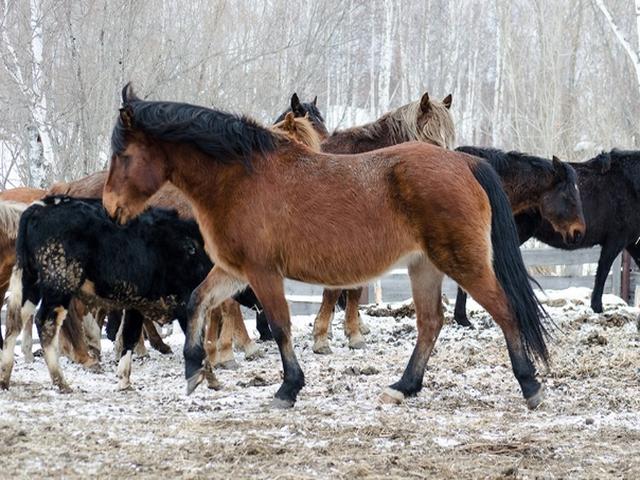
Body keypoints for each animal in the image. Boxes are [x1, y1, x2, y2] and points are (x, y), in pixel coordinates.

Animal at [103, 84, 551, 410]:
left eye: (122, 154)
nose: (110, 207)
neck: (242, 178)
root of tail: (464, 163)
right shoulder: (234, 270)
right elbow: (198, 301)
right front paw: (195, 369)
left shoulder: (262, 272)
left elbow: (280, 326)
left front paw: (287, 388)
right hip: (424, 266)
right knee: (430, 323)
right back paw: (402, 387)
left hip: (462, 262)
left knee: (504, 310)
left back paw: (530, 386)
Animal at [454, 147, 640, 325]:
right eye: (568, 196)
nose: (578, 232)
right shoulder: (616, 241)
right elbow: (602, 273)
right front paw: (597, 308)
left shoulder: (631, 242)